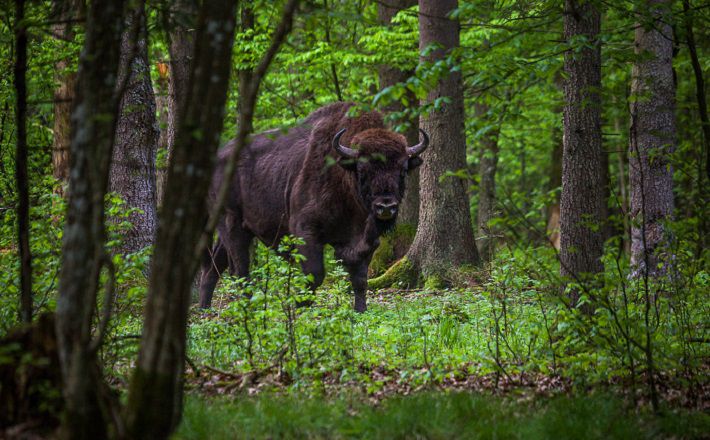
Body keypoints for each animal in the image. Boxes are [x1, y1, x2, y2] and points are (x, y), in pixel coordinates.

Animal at [199, 101, 428, 312]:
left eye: (403, 170)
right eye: (363, 169)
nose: (386, 206)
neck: (343, 176)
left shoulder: (366, 242)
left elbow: (360, 280)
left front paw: (360, 311)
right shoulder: (306, 231)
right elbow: (314, 275)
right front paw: (302, 311)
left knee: (213, 268)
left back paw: (205, 310)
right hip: (231, 222)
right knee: (240, 269)